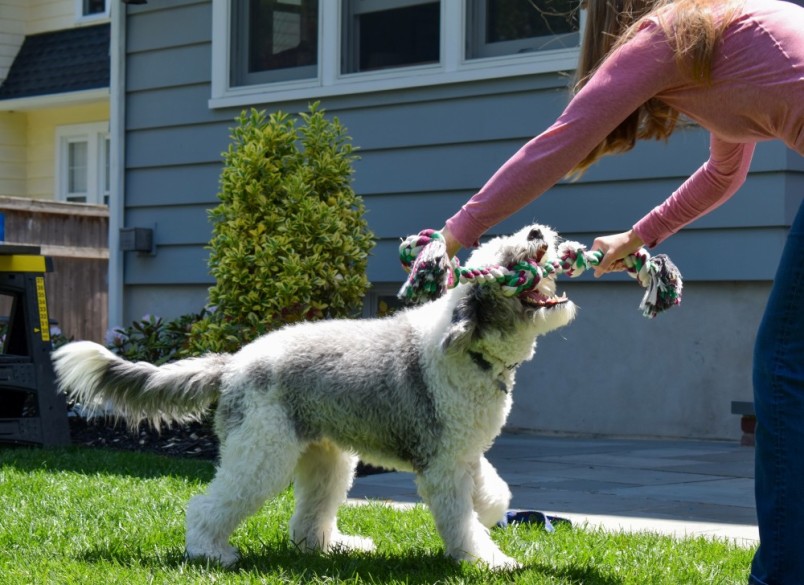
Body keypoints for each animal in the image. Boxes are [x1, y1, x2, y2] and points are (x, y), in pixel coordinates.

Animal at [50, 224, 576, 572]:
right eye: (506, 261)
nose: (536, 230)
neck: (474, 350)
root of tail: (233, 363)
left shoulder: (463, 452)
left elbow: (491, 489)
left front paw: (491, 511)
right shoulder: (443, 462)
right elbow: (459, 520)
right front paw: (488, 559)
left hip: (327, 456)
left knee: (307, 522)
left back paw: (336, 547)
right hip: (262, 453)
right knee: (208, 505)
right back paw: (211, 552)